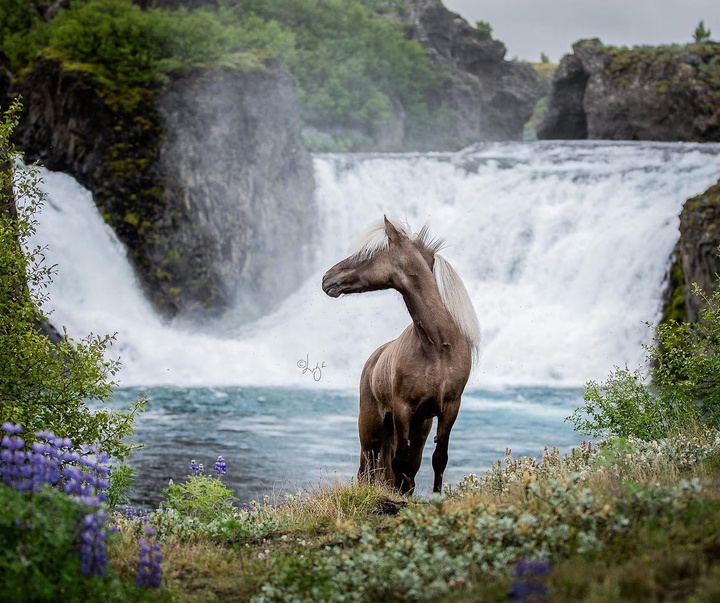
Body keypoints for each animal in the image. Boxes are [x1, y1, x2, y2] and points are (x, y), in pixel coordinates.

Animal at [320, 217, 478, 496]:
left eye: (366, 254)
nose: (326, 279)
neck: (438, 347)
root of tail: (373, 358)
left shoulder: (450, 408)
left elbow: (438, 458)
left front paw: (436, 495)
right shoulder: (403, 408)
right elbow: (399, 461)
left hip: (419, 427)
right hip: (371, 427)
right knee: (368, 467)